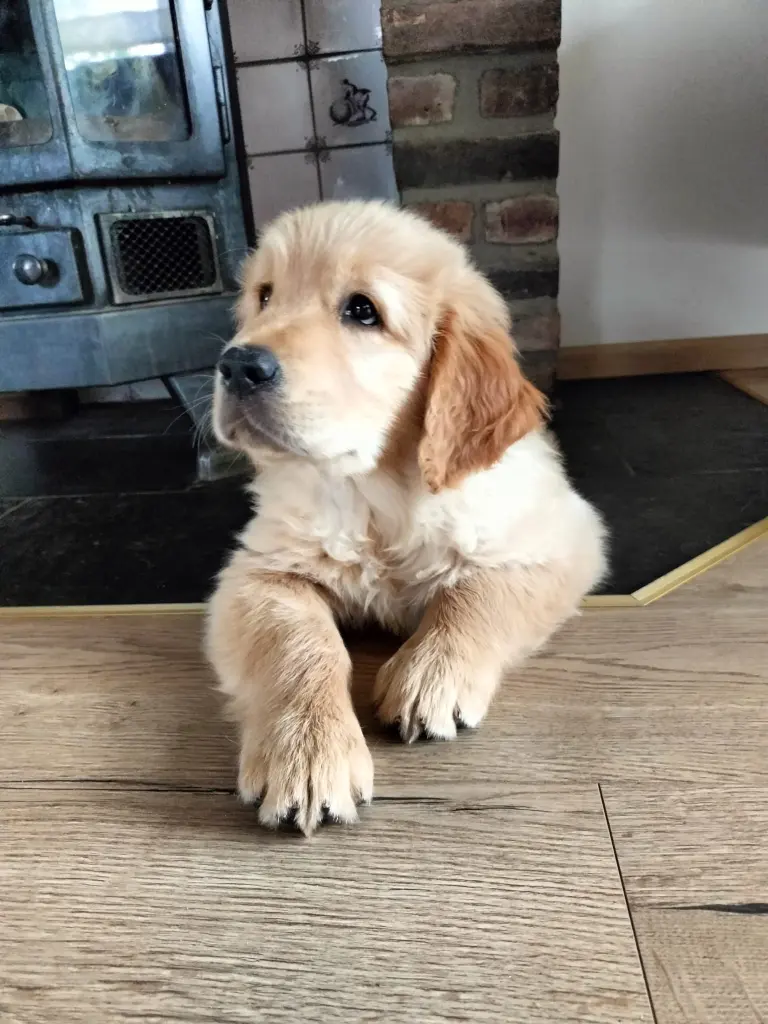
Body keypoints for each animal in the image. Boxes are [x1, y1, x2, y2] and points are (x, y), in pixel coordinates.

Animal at [204, 197, 606, 831]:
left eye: (362, 311)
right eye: (264, 296)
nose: (237, 364)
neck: (376, 496)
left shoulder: (560, 536)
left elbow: (477, 593)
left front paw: (431, 675)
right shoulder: (261, 572)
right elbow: (297, 643)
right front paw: (308, 748)